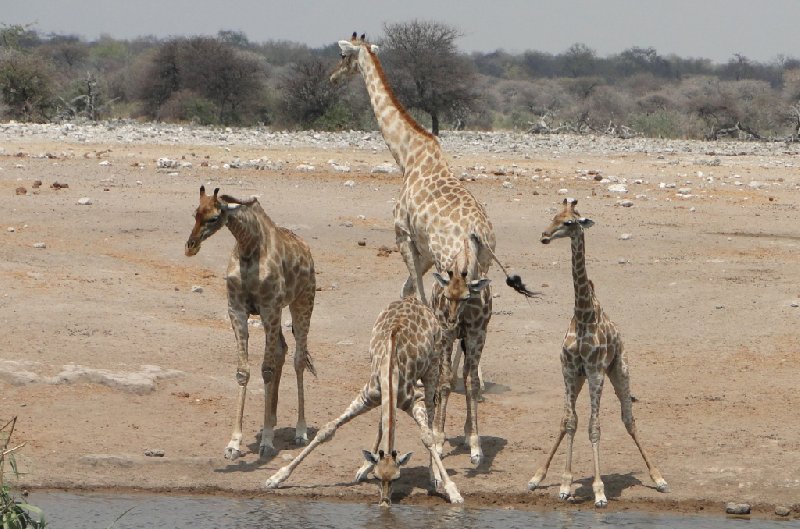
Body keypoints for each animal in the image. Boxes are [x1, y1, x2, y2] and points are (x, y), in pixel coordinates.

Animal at [184, 188, 316, 460]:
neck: (248, 247)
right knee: (282, 350)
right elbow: (243, 371)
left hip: (302, 303)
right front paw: (234, 443)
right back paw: (272, 420)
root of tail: (307, 251)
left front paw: (266, 443)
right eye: (195, 213)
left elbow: (266, 370)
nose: (191, 246)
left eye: (214, 218)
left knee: (298, 359)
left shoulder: (269, 308)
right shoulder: (237, 310)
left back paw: (300, 431)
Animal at [264, 294, 462, 506]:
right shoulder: (367, 396)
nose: (384, 503)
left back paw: (433, 475)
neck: (390, 374)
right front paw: (276, 477)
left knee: (431, 411)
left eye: (397, 478)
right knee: (384, 421)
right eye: (377, 477)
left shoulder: (414, 402)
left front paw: (452, 490)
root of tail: (412, 299)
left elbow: (427, 438)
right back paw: (364, 466)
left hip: (433, 365)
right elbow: (327, 429)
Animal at [328, 34, 536, 466]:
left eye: (342, 55)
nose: (331, 77)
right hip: (479, 284)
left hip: (447, 278)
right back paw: (470, 427)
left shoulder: (404, 237)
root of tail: (478, 235)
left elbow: (414, 296)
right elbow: (409, 294)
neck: (407, 155)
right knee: (471, 358)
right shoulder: (423, 254)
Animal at [524, 199, 668, 508]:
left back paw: (659, 478)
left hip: (620, 370)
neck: (583, 314)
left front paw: (599, 491)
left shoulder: (595, 371)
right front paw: (564, 485)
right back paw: (536, 477)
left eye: (569, 222)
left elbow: (594, 426)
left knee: (629, 419)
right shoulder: (569, 370)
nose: (544, 236)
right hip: (579, 379)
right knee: (565, 420)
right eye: (554, 216)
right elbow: (570, 422)